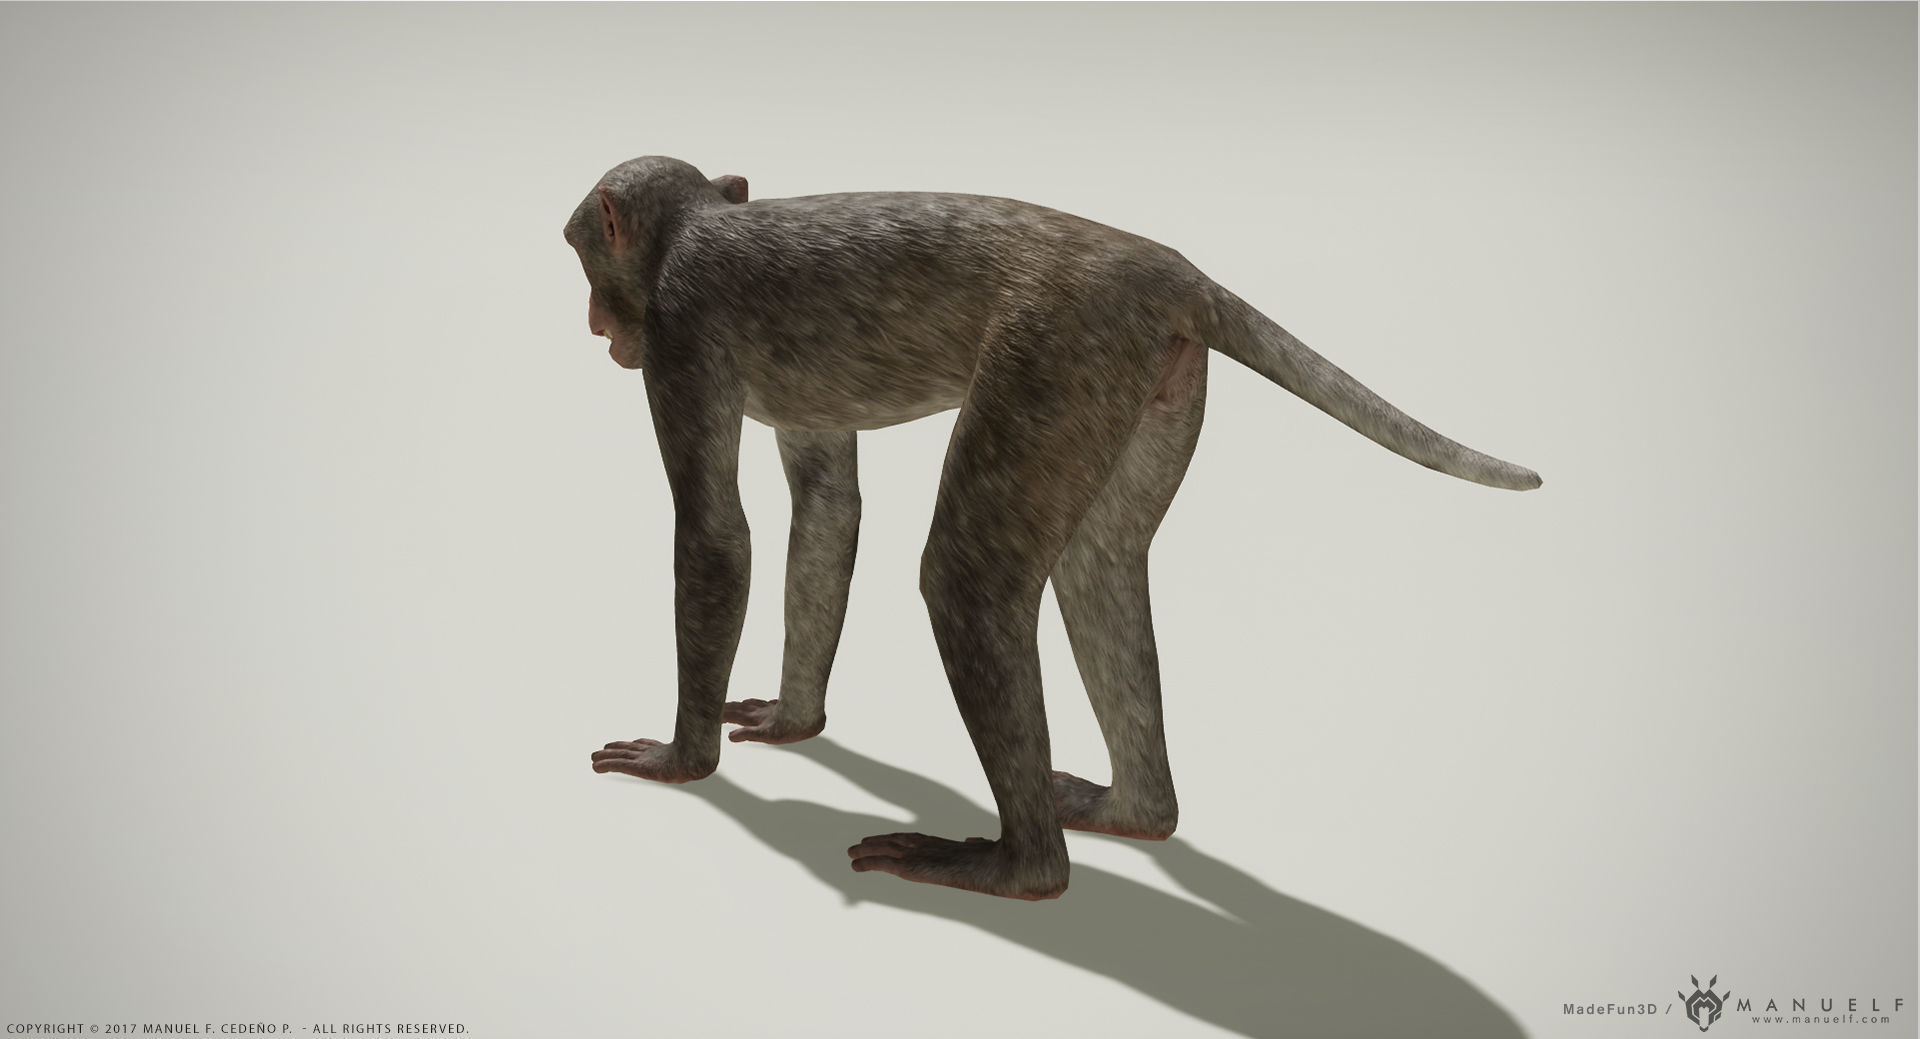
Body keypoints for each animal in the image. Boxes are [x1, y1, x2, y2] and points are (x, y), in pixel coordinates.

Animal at [575, 156, 1540, 901]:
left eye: (588, 263)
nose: (591, 323)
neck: (692, 230)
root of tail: (1169, 270)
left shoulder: (679, 333)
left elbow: (714, 533)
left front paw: (681, 758)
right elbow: (827, 508)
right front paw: (791, 717)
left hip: (1062, 345)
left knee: (968, 580)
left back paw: (1022, 867)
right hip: (1150, 372)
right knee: (1099, 563)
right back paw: (1134, 811)